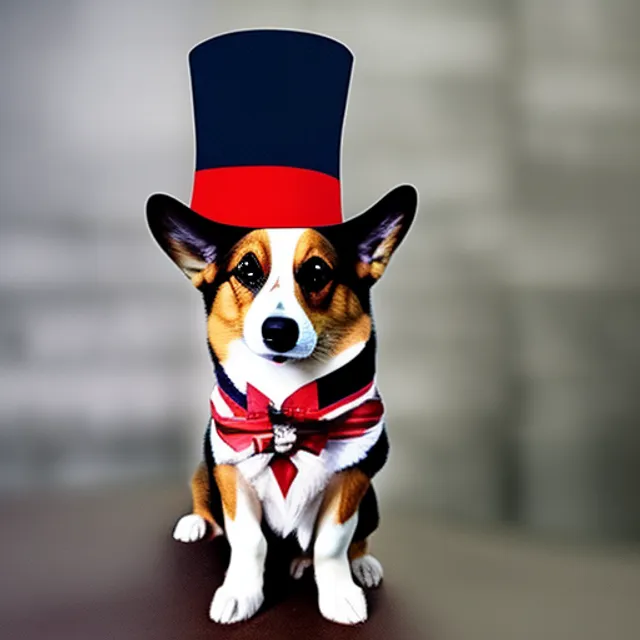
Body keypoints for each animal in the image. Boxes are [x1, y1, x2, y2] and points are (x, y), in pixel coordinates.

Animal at [146, 182, 416, 624]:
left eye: (318, 272)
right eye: (247, 271)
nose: (278, 330)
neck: (286, 402)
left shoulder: (355, 475)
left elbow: (332, 543)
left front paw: (340, 594)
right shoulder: (229, 470)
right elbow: (249, 540)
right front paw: (241, 594)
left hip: (372, 500)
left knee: (359, 538)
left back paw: (359, 564)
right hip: (204, 471)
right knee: (204, 501)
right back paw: (195, 524)